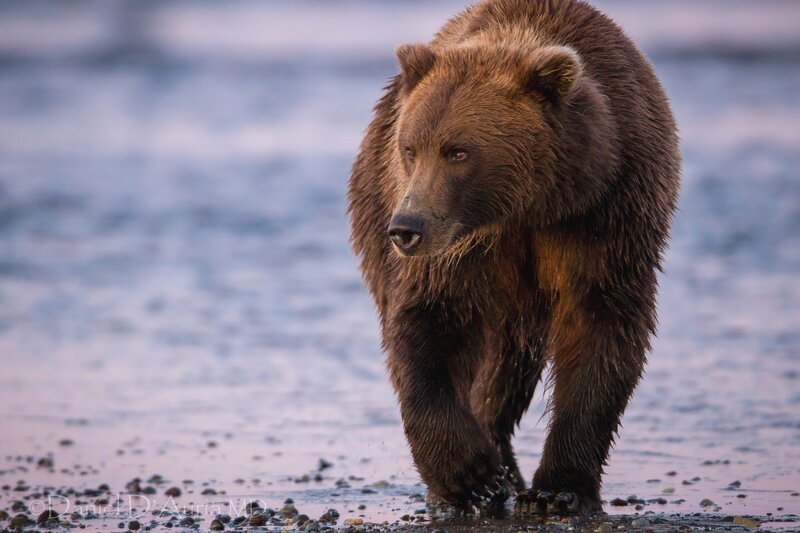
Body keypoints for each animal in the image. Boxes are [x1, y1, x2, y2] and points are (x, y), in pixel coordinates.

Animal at [347, 0, 679, 515]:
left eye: (458, 151)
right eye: (410, 148)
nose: (406, 228)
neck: (528, 207)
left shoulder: (605, 215)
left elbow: (600, 328)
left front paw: (561, 489)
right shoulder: (458, 251)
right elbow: (430, 322)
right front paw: (466, 473)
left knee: (506, 369)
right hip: (374, 203)